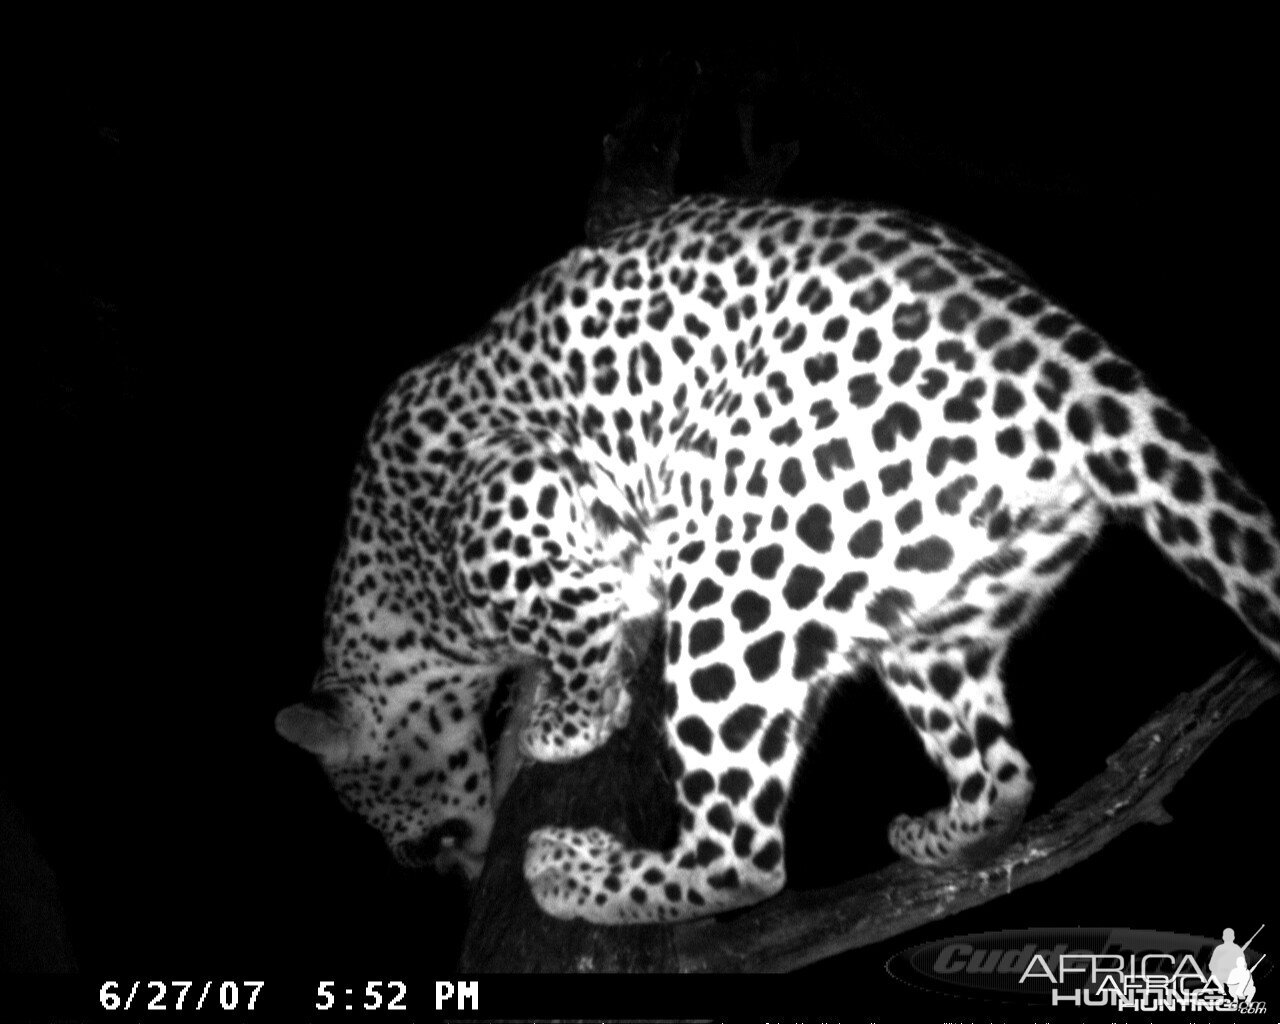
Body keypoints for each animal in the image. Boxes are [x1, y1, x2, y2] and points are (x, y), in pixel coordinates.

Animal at [277, 194, 1280, 926]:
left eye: (415, 842)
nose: (457, 872)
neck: (395, 597)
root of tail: (1067, 355)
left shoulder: (513, 493)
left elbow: (575, 623)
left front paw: (565, 721)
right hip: (931, 614)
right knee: (1002, 778)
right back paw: (939, 835)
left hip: (742, 574)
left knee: (745, 859)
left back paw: (574, 872)